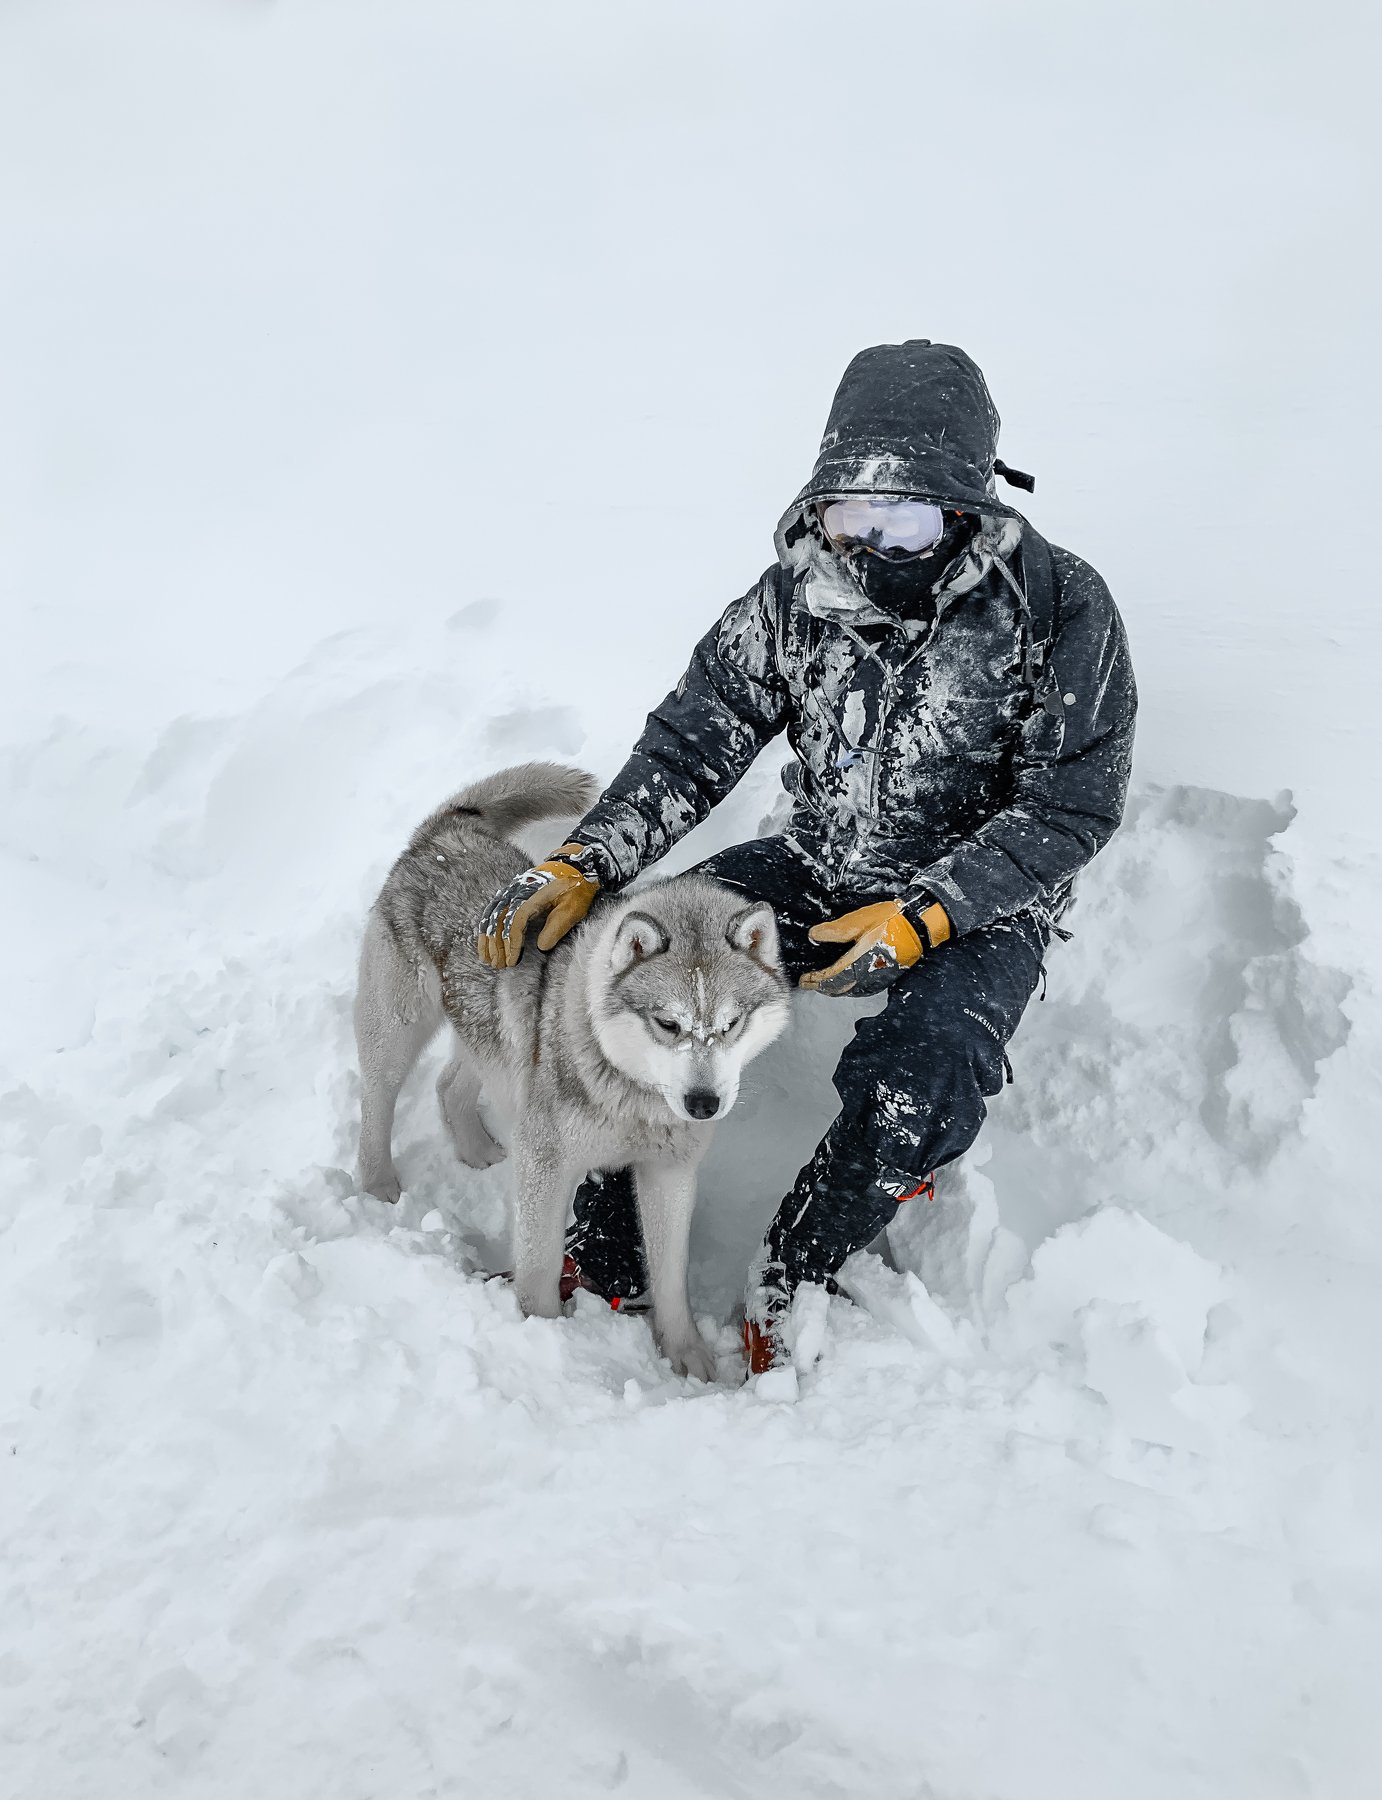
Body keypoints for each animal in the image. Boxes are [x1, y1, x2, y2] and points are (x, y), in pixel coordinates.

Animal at [350, 763, 791, 1375]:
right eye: (668, 1023)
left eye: (730, 1024)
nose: (703, 1105)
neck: (632, 1094)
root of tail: (447, 830)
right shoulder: (547, 1166)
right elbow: (537, 1272)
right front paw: (542, 1341)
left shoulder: (669, 1174)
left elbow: (671, 1280)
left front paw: (688, 1358)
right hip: (398, 1031)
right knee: (377, 1103)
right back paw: (380, 1187)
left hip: (494, 1042)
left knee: (447, 1085)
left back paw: (477, 1151)